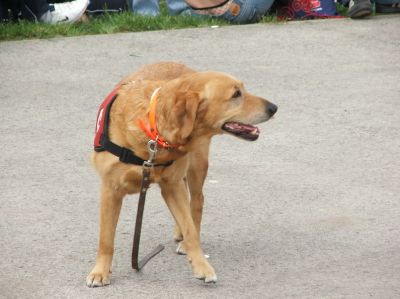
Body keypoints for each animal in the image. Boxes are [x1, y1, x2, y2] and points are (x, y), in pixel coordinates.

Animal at [86, 61, 276, 288]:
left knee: (197, 202)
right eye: (236, 94)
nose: (274, 108)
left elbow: (191, 230)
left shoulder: (172, 184)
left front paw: (202, 266)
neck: (154, 130)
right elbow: (106, 239)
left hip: (196, 166)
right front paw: (100, 271)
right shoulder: (111, 189)